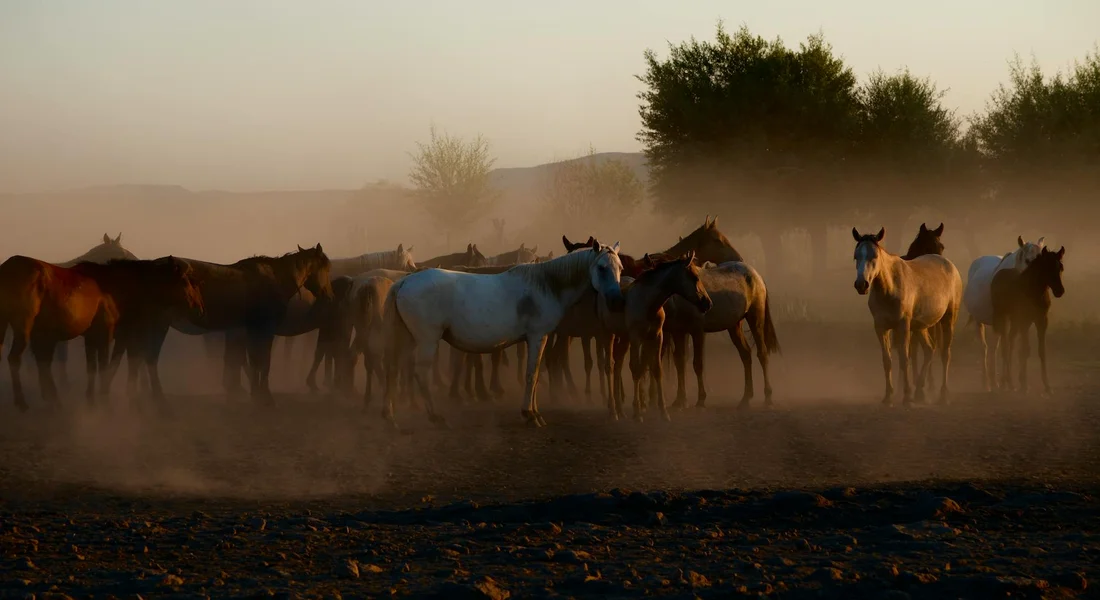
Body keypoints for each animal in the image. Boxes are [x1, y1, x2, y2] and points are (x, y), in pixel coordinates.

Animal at [382, 240, 625, 428]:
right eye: (602, 267)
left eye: (621, 268)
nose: (616, 300)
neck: (546, 284)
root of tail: (404, 281)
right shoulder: (537, 337)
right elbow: (531, 374)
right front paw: (530, 415)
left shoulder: (540, 338)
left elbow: (535, 374)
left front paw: (533, 412)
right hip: (427, 341)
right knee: (420, 373)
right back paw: (435, 416)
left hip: (408, 339)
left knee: (393, 369)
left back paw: (391, 416)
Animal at [599, 253, 712, 421]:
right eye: (694, 277)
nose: (707, 303)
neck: (648, 303)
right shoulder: (636, 338)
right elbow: (636, 369)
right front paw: (638, 412)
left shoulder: (657, 336)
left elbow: (656, 369)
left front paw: (663, 412)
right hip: (609, 334)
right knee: (610, 366)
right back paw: (613, 411)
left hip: (624, 339)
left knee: (618, 365)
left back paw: (620, 410)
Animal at [852, 227, 963, 406]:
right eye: (856, 256)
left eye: (874, 256)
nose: (861, 285)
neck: (890, 287)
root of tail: (949, 265)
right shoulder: (881, 328)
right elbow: (887, 360)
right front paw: (888, 396)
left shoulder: (903, 326)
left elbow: (905, 359)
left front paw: (906, 396)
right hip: (920, 327)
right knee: (929, 350)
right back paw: (919, 391)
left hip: (948, 319)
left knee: (945, 354)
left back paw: (943, 395)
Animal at [963, 236, 1046, 391]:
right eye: (1028, 260)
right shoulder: (1006, 321)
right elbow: (1006, 347)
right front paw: (1007, 383)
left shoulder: (1019, 320)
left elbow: (1019, 348)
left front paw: (1016, 382)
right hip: (980, 321)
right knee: (984, 348)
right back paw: (986, 383)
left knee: (994, 348)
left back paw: (994, 381)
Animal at [991, 246, 1065, 394]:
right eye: (1047, 267)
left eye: (1061, 267)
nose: (1060, 291)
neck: (1034, 292)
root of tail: (999, 273)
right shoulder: (1024, 320)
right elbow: (1025, 349)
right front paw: (1024, 385)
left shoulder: (1041, 321)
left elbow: (1041, 351)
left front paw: (1047, 386)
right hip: (1003, 317)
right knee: (1005, 345)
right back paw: (1005, 382)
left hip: (1014, 320)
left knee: (1011, 342)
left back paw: (1010, 382)